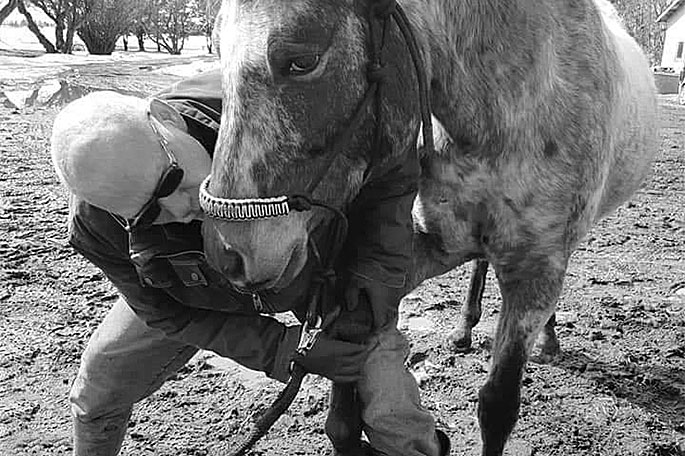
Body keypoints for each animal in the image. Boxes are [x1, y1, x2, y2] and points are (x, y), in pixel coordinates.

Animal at [199, 0, 656, 456]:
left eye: (303, 60)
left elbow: (497, 407)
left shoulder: (534, 272)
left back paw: (547, 340)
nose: (227, 255)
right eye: (218, 55)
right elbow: (345, 401)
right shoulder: (418, 251)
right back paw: (465, 329)